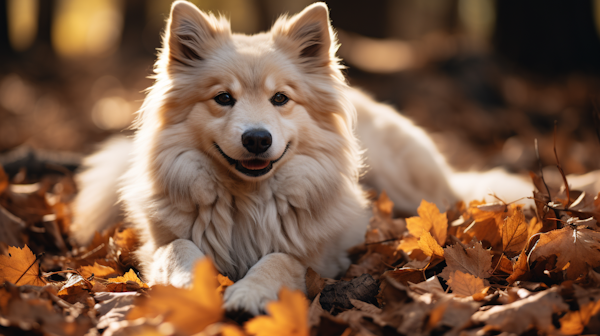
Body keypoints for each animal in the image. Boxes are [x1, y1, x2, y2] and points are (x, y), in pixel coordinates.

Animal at [70, 0, 536, 316]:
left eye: (280, 99)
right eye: (223, 98)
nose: (257, 139)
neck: (247, 202)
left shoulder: (322, 257)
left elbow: (280, 259)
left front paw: (249, 293)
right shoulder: (156, 245)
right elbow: (178, 249)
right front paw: (190, 285)